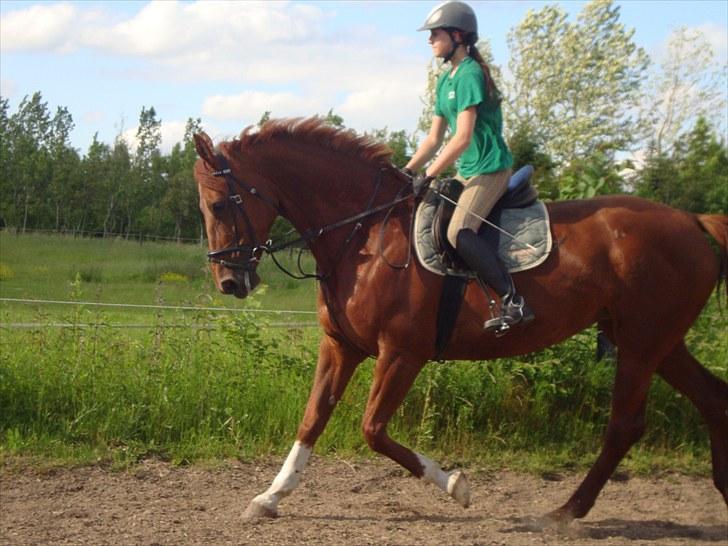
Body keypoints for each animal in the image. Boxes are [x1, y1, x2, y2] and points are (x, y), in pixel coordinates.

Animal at [193, 118, 728, 524]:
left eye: (218, 204)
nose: (229, 282)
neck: (365, 233)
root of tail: (692, 220)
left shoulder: (401, 354)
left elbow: (373, 430)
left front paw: (457, 486)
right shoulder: (341, 346)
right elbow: (312, 419)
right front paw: (268, 498)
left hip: (641, 343)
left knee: (624, 425)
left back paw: (565, 513)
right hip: (656, 341)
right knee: (711, 398)